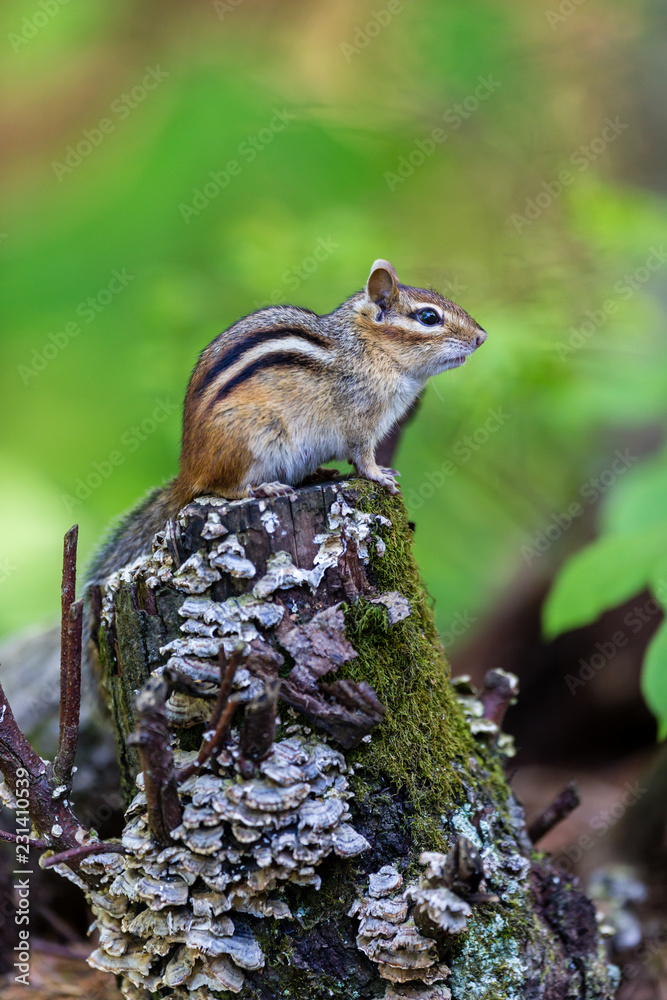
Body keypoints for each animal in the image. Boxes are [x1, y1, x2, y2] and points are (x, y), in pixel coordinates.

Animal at [86, 259, 486, 589]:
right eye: (428, 318)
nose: (481, 336)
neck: (369, 348)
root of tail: (189, 469)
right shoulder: (360, 420)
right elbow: (362, 456)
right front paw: (380, 475)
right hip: (253, 438)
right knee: (220, 487)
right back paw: (263, 489)